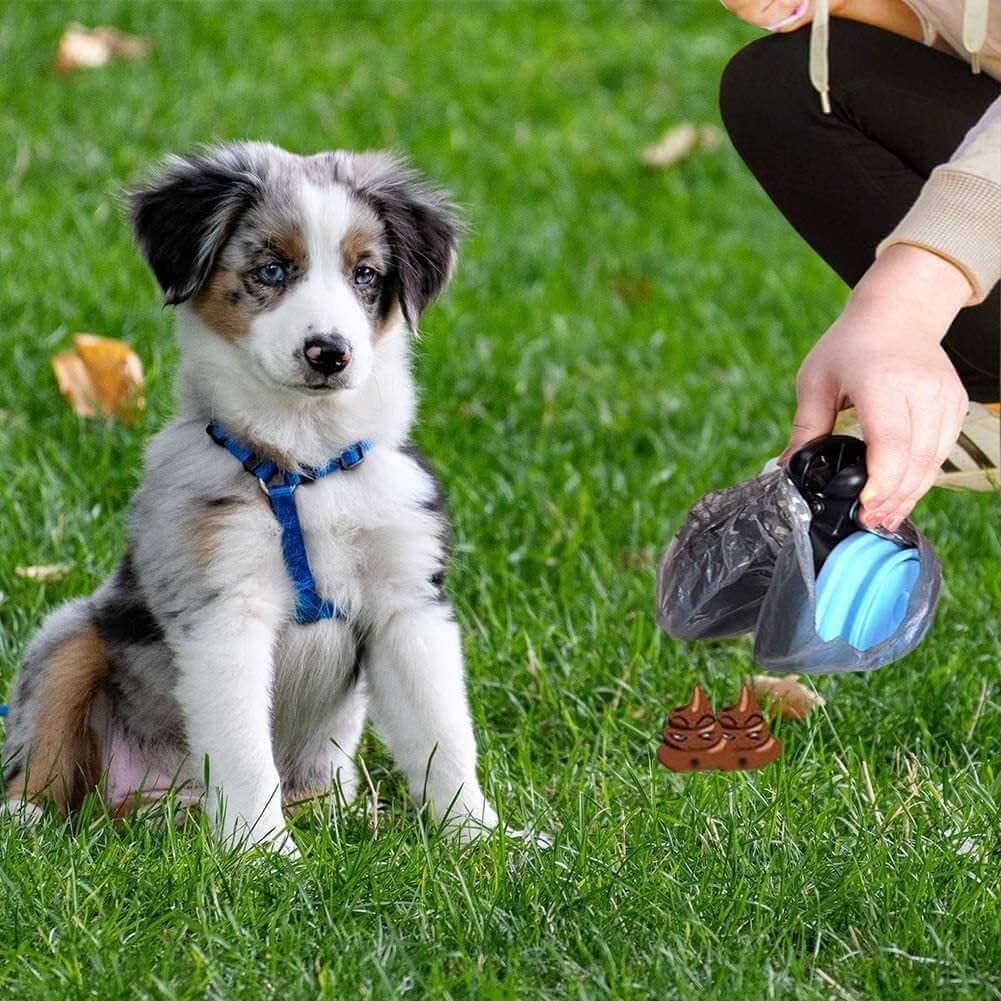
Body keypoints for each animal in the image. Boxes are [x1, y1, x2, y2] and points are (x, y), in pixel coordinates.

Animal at [0, 141, 500, 852]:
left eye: (366, 274)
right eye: (271, 269)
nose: (330, 353)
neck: (306, 464)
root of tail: (149, 802)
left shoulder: (409, 605)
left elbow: (444, 737)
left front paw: (485, 841)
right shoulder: (223, 610)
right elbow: (241, 749)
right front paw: (264, 854)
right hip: (71, 635)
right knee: (43, 748)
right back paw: (29, 820)